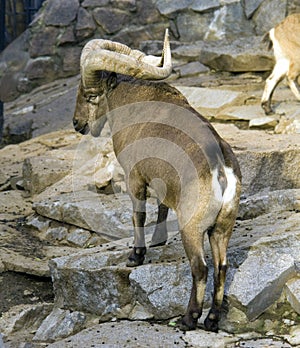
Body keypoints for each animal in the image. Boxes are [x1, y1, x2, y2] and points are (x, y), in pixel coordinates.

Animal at [72, 29, 241, 332]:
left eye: (91, 95)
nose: (77, 123)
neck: (131, 100)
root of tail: (221, 169)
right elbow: (162, 206)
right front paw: (158, 241)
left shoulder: (134, 177)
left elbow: (138, 215)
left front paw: (135, 256)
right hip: (222, 226)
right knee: (222, 266)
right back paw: (211, 319)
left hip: (192, 227)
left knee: (200, 268)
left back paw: (189, 318)